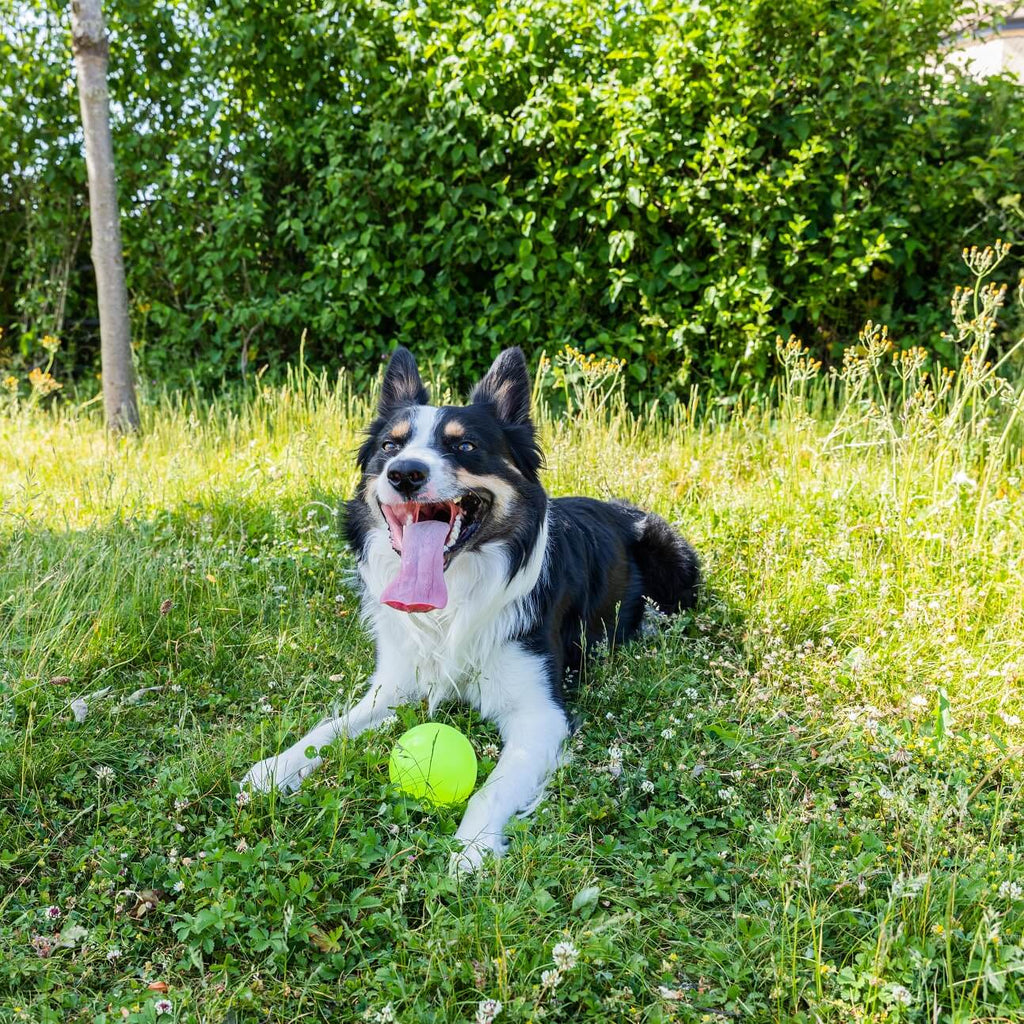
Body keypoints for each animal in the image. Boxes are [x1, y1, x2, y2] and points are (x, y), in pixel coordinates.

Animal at [243, 346, 700, 872]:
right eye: (390, 446)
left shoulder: (539, 713)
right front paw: (275, 768)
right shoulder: (393, 686)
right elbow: (331, 729)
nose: (405, 473)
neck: (455, 599)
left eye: (464, 447)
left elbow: (490, 789)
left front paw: (471, 849)